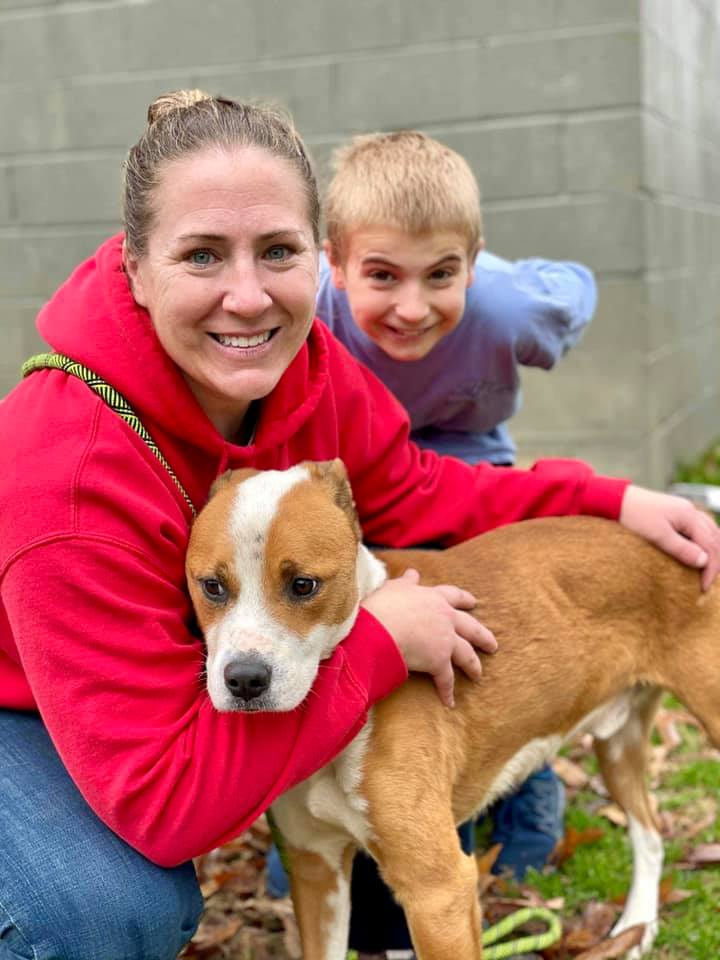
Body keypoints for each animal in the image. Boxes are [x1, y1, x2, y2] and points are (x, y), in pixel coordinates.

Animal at [187, 462, 720, 956]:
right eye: (212, 586)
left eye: (303, 585)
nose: (245, 680)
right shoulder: (316, 867)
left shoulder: (438, 891)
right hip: (617, 746)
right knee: (650, 833)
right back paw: (638, 927)